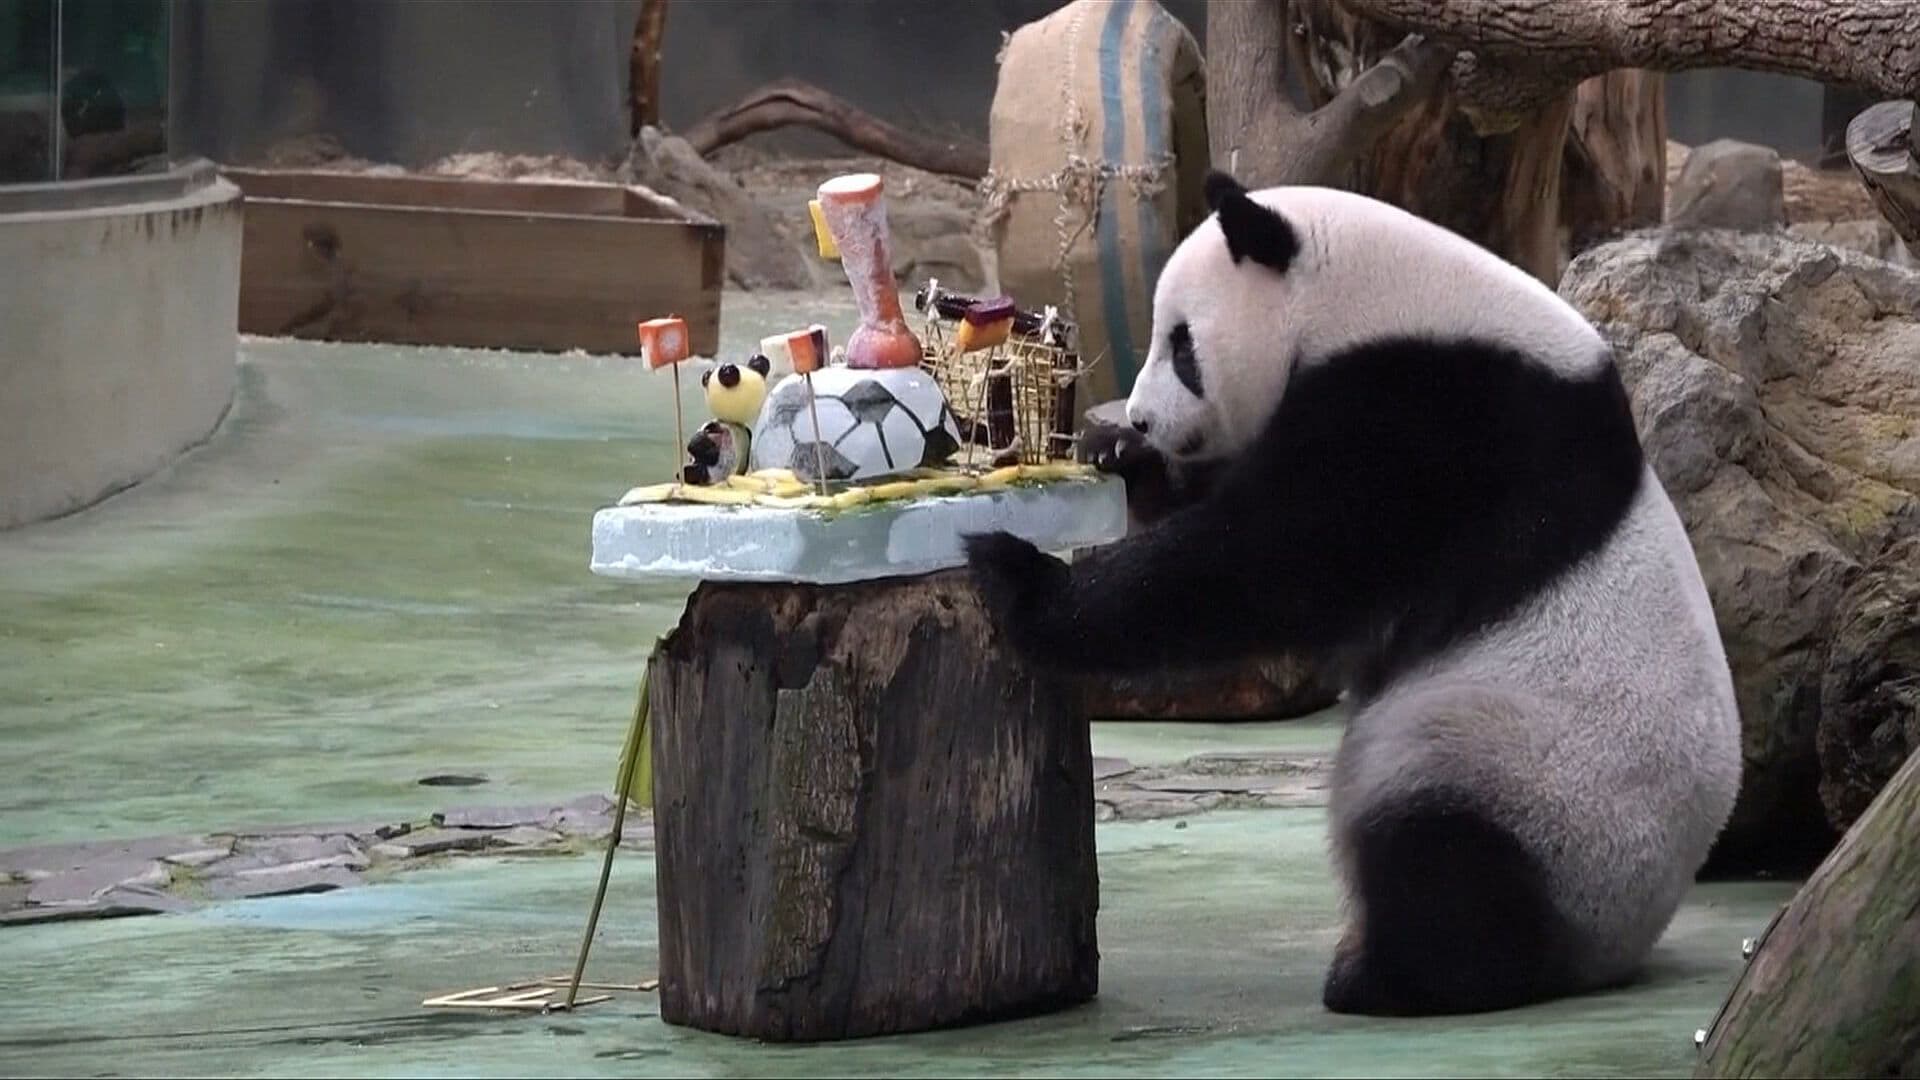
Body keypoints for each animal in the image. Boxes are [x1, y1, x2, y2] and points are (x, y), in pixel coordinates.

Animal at [964, 172, 1743, 1017]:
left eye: (1183, 345)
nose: (1141, 418)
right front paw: (1120, 456)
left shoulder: (1432, 418)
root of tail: (1621, 944)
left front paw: (1020, 577)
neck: (1381, 296)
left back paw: (1384, 977)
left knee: (1443, 859)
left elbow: (1276, 560)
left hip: (1534, 782)